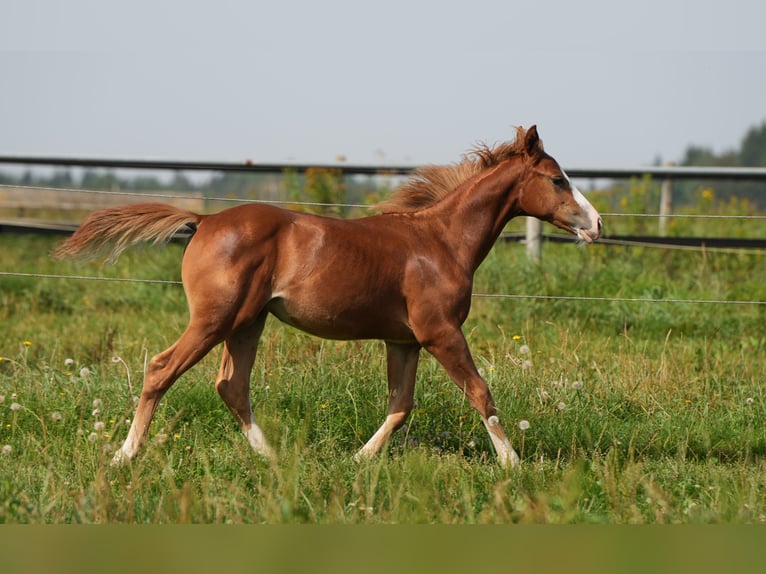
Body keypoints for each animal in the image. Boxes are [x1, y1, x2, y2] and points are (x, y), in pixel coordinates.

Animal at [55, 125, 608, 468]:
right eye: (558, 179)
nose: (598, 225)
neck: (440, 242)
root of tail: (205, 219)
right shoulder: (440, 332)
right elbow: (479, 392)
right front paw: (514, 465)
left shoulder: (404, 341)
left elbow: (401, 405)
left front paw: (358, 459)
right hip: (215, 319)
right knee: (161, 369)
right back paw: (124, 456)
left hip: (247, 323)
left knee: (232, 386)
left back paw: (273, 458)